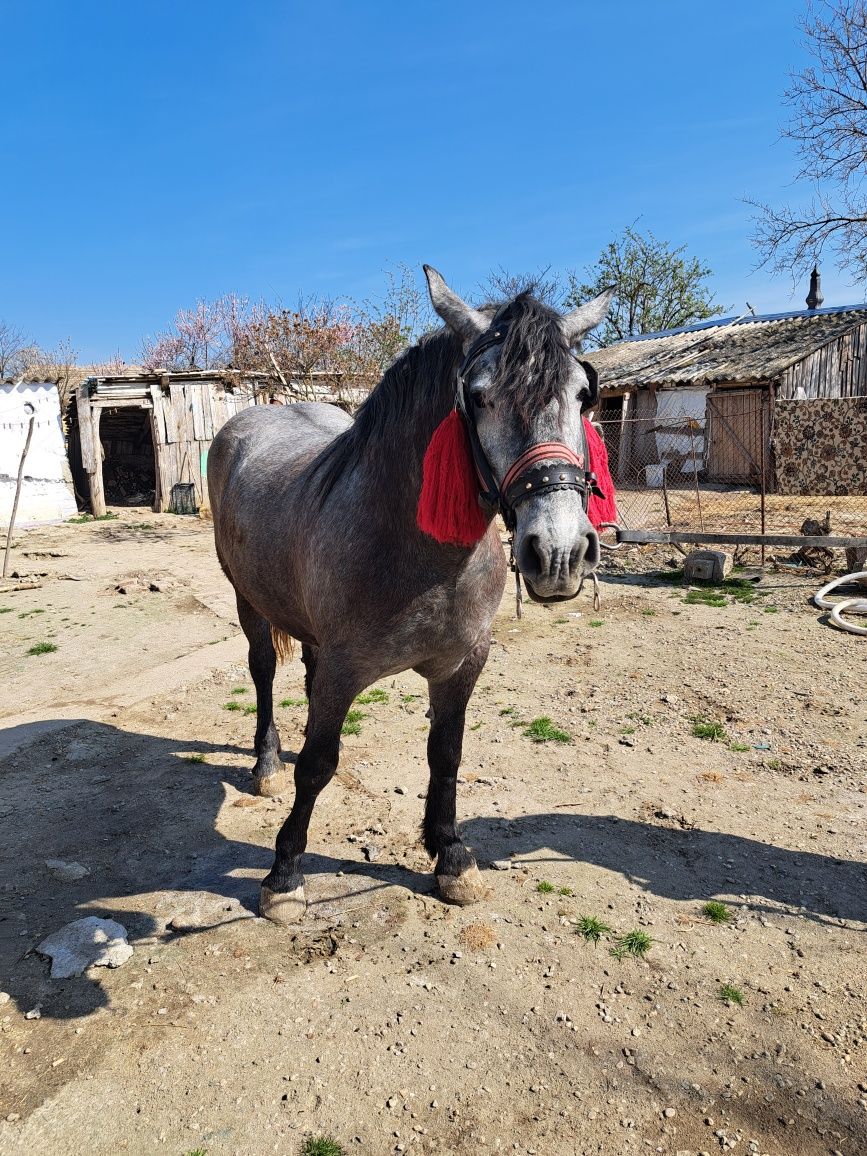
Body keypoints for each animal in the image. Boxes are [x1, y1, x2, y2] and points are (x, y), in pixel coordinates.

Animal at [209, 268, 610, 920]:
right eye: (479, 396)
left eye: (582, 396)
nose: (558, 554)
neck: (420, 558)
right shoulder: (346, 668)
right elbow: (317, 765)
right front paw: (284, 873)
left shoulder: (462, 664)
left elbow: (445, 756)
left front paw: (449, 855)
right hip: (249, 601)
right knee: (264, 671)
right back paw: (267, 764)